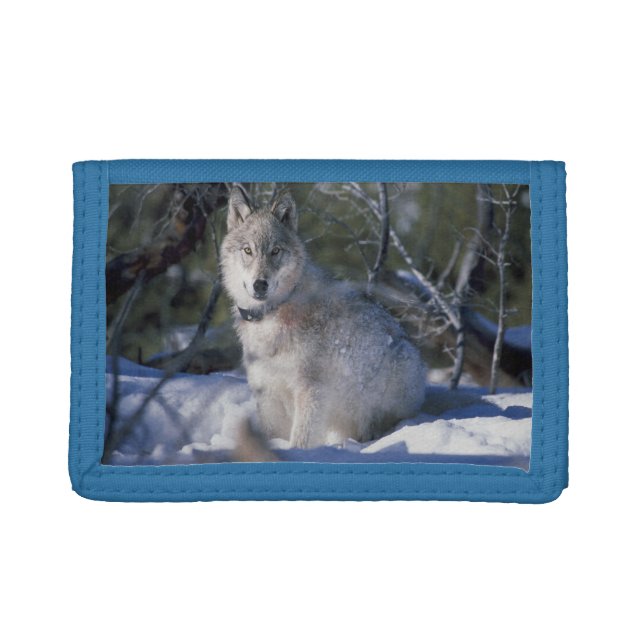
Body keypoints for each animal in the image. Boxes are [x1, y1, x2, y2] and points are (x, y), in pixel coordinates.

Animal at [220, 186, 426, 449]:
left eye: (275, 251)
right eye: (248, 250)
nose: (260, 284)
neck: (273, 314)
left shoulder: (311, 390)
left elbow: (301, 438)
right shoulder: (267, 393)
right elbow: (272, 435)